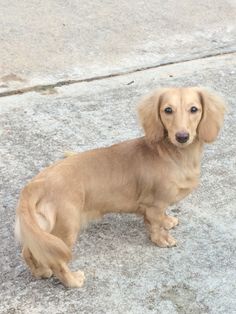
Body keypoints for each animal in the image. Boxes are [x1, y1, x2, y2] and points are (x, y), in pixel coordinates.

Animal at [14, 86, 225, 288]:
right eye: (168, 110)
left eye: (194, 109)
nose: (182, 136)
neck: (171, 155)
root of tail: (36, 184)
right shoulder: (154, 204)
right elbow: (155, 224)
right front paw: (161, 239)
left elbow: (159, 218)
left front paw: (168, 221)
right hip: (65, 230)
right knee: (58, 261)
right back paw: (73, 280)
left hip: (42, 231)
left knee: (29, 251)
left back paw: (41, 271)